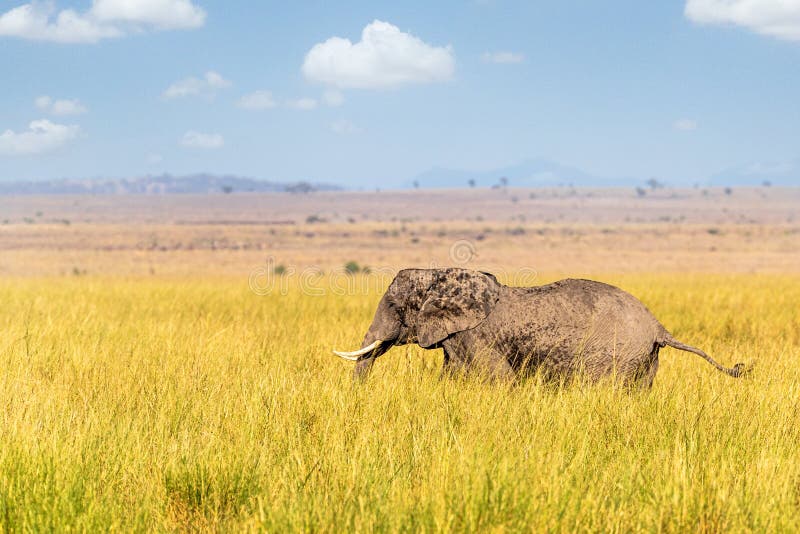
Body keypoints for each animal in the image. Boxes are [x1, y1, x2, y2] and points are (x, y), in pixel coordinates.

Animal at [332, 268, 752, 390]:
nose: (358, 396)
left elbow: (498, 380)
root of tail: (658, 326)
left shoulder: (476, 338)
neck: (438, 274)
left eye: (394, 307)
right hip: (645, 360)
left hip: (617, 353)